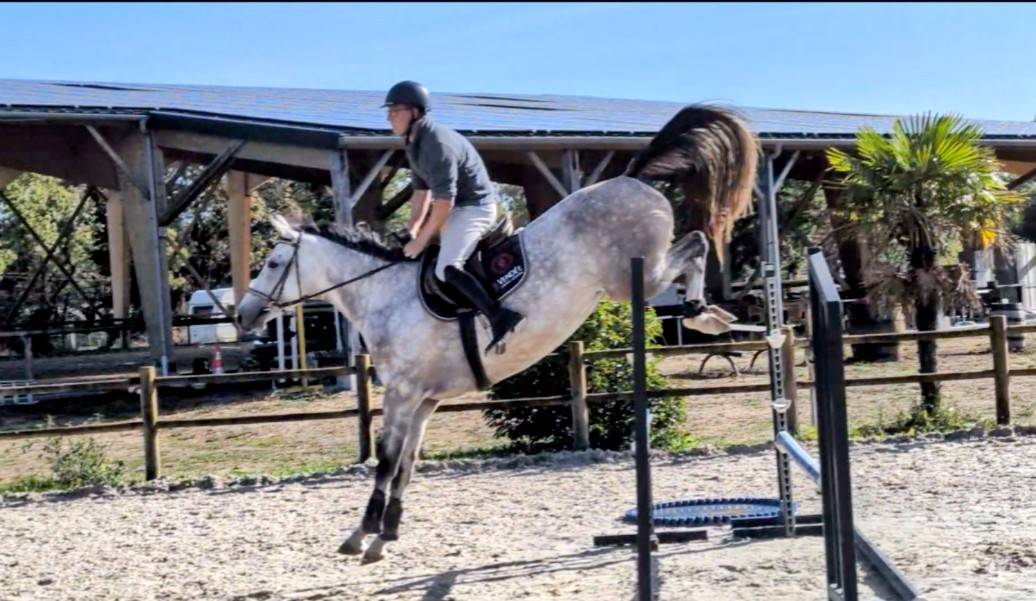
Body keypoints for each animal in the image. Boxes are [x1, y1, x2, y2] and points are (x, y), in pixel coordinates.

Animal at [235, 105, 758, 563]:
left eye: (273, 263)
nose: (243, 315)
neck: (382, 291)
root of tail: (629, 175)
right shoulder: (425, 400)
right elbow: (406, 465)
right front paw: (386, 536)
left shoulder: (403, 393)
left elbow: (386, 461)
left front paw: (361, 535)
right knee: (695, 244)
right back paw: (708, 314)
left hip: (636, 277)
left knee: (696, 243)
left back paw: (700, 313)